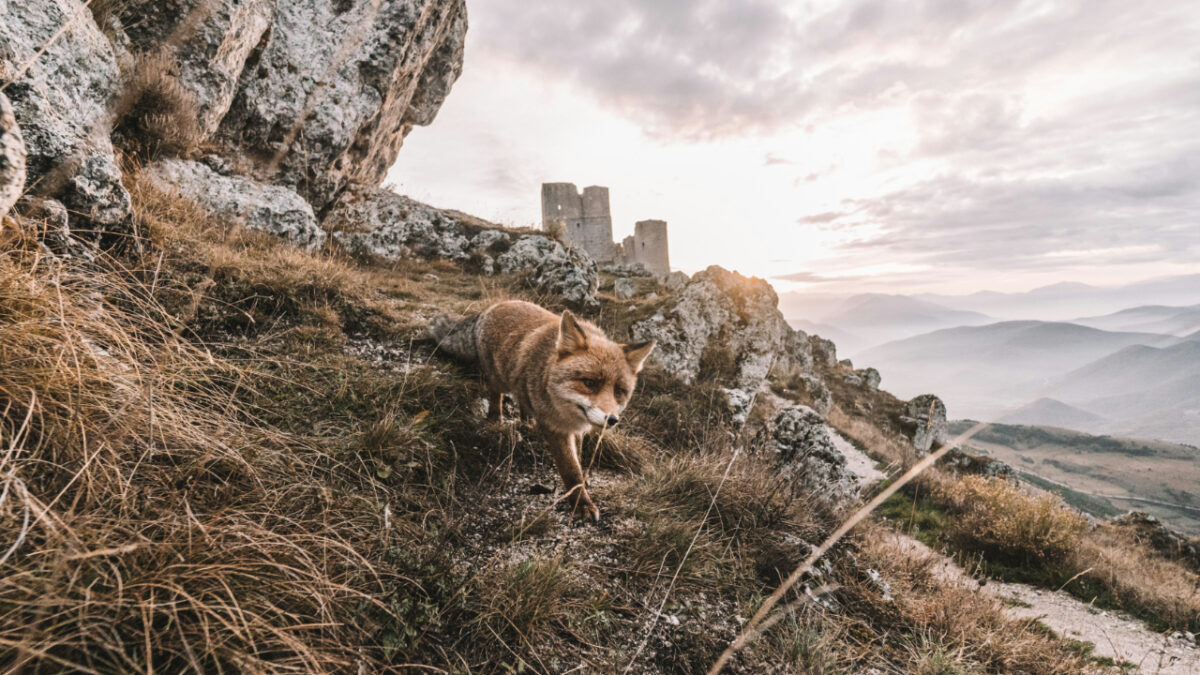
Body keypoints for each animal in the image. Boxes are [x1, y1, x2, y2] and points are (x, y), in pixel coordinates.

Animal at [432, 299, 657, 521]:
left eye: (619, 391)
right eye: (589, 383)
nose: (612, 419)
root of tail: (495, 305)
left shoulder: (576, 429)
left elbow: (578, 457)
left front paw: (583, 481)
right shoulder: (555, 429)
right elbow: (570, 470)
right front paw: (581, 503)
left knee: (522, 400)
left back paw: (527, 421)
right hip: (498, 379)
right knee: (496, 395)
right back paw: (495, 420)